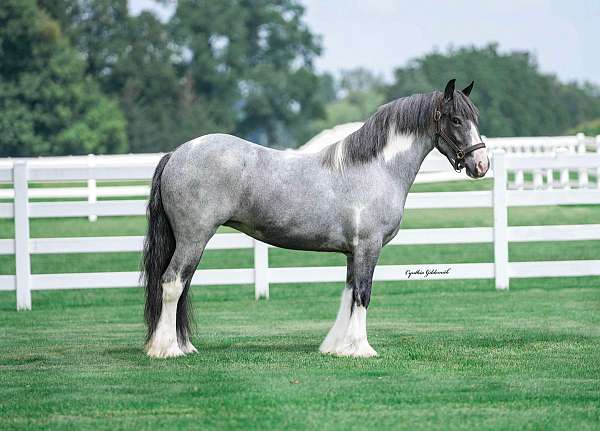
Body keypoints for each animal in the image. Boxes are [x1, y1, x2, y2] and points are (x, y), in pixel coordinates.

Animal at [143, 79, 490, 360]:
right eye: (456, 119)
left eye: (475, 117)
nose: (482, 164)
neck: (377, 168)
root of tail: (176, 154)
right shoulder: (368, 247)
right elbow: (363, 294)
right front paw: (361, 349)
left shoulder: (353, 252)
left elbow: (348, 294)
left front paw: (337, 347)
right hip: (194, 238)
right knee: (172, 282)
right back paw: (166, 349)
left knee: (181, 284)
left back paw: (183, 345)